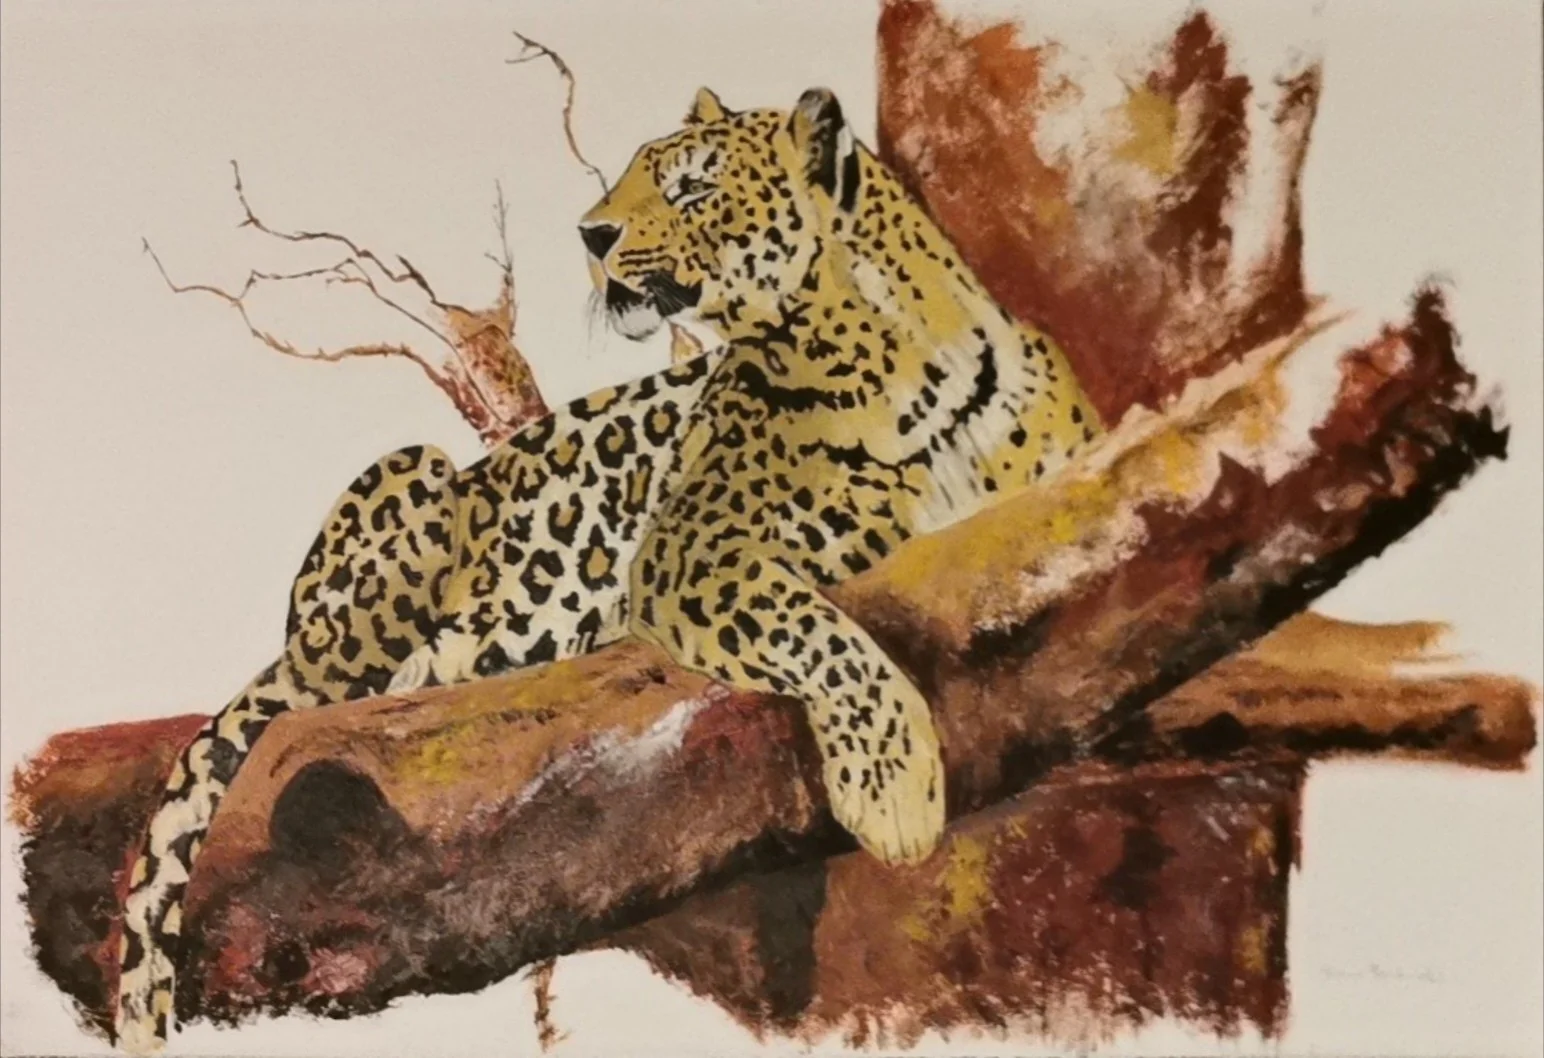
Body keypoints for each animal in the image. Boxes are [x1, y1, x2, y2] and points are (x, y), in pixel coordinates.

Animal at [113, 85, 1102, 1054]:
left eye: (694, 184)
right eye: (631, 173)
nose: (591, 235)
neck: (890, 360)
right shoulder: (693, 549)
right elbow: (821, 632)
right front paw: (890, 792)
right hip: (408, 491)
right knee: (338, 691)